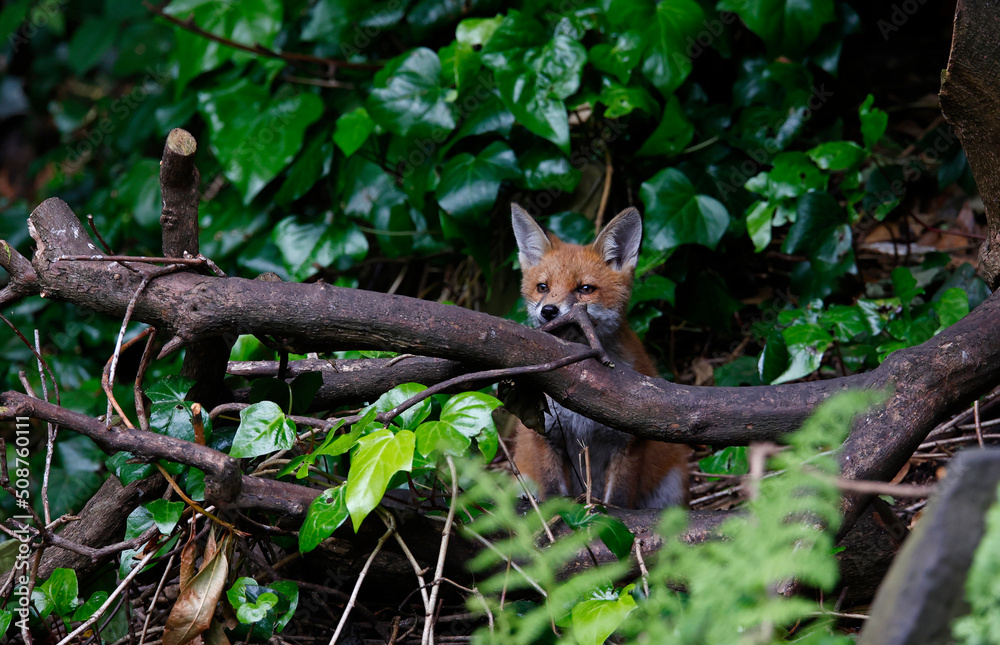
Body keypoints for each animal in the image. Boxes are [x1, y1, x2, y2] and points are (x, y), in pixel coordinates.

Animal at [512, 203, 692, 508]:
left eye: (585, 289)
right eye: (542, 287)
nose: (548, 311)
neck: (582, 379)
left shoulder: (629, 441)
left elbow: (618, 502)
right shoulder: (545, 437)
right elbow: (553, 495)